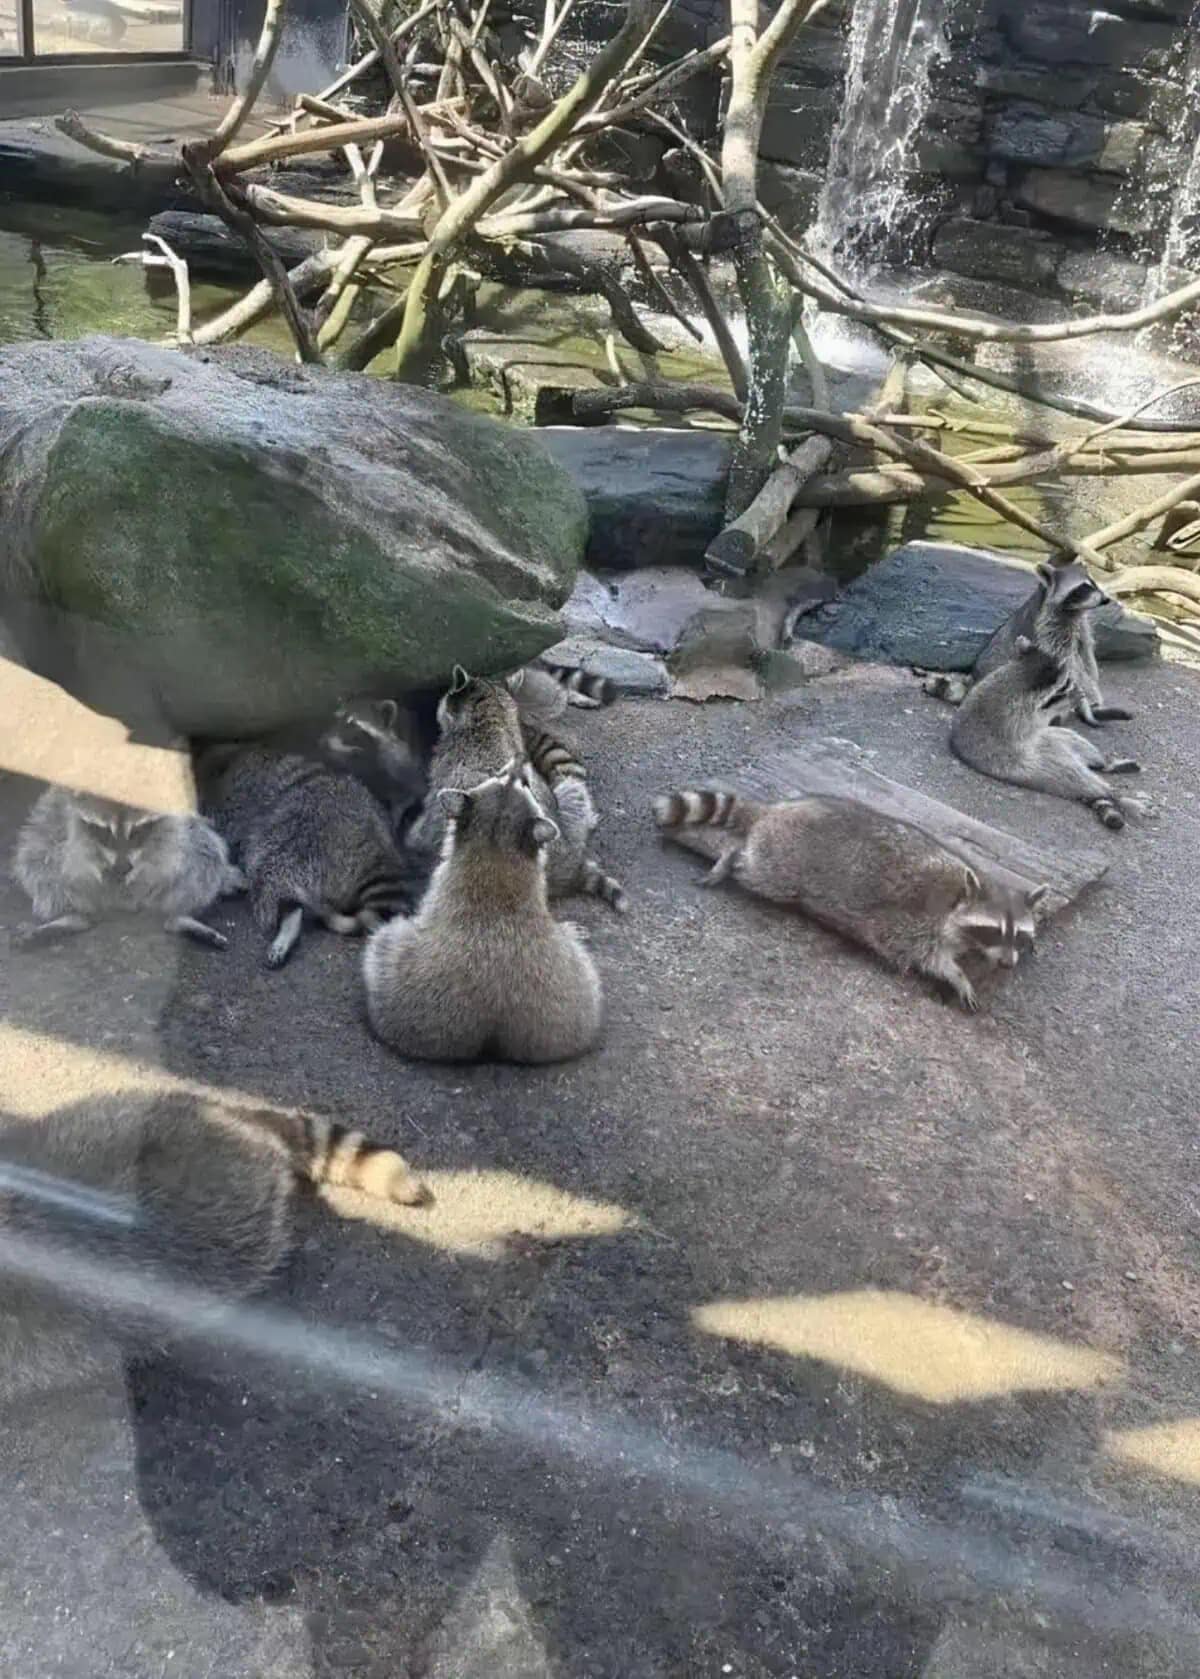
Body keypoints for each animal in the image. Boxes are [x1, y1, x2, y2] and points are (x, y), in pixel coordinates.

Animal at [12, 788, 243, 948]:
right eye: (105, 832)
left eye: (137, 831)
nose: (122, 867)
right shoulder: (62, 809)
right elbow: (67, 840)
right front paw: (89, 864)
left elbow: (172, 846)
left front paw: (147, 868)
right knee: (38, 860)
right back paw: (73, 917)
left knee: (205, 854)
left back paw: (178, 917)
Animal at [364, 762, 603, 1062]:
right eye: (502, 777)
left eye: (525, 783)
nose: (519, 764)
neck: (494, 845)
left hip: (394, 968)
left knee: (382, 944)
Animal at [655, 788, 1047, 1011]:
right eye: (993, 930)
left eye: (1019, 934)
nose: (1008, 964)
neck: (959, 896)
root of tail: (778, 810)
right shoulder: (914, 920)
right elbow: (920, 954)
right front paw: (956, 975)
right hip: (783, 863)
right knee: (756, 868)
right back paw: (732, 857)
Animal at [950, 640, 1150, 831]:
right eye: (1067, 684)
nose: (1081, 692)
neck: (1019, 677)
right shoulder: (1010, 718)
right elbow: (1031, 722)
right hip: (1033, 766)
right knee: (1077, 777)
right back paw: (1114, 794)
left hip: (1056, 739)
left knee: (1078, 742)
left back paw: (1107, 764)